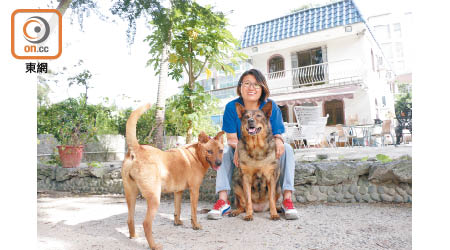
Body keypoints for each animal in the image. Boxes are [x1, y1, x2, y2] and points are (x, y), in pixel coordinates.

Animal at [121, 103, 225, 248]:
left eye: (220, 150)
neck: (196, 155)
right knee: (146, 223)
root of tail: (137, 148)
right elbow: (193, 212)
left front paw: (177, 222)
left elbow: (177, 209)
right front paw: (195, 225)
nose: (219, 163)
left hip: (131, 195)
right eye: (209, 151)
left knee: (130, 219)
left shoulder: (178, 192)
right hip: (154, 198)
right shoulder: (194, 190)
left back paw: (134, 236)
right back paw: (154, 245)